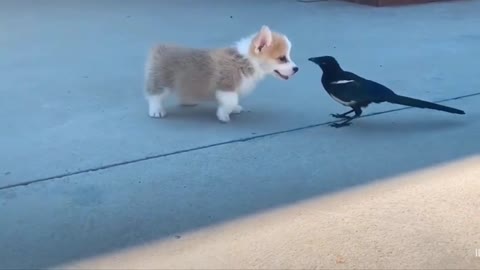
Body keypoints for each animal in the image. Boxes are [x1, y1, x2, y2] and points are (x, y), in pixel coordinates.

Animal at [144, 25, 298, 122]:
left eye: (288, 56)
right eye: (282, 58)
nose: (297, 69)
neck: (246, 60)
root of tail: (160, 48)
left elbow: (233, 101)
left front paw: (233, 109)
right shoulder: (226, 87)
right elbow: (231, 101)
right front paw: (223, 115)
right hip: (162, 82)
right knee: (155, 96)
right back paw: (156, 110)